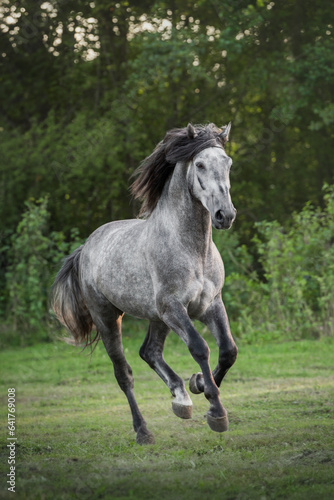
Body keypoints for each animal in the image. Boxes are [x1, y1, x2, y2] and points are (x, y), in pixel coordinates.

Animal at [51, 122, 237, 446]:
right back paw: (143, 431)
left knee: (149, 351)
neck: (192, 249)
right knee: (124, 373)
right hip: (109, 317)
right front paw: (216, 412)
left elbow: (228, 350)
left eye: (228, 163)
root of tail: (85, 248)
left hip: (156, 316)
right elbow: (200, 348)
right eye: (200, 164)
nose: (224, 215)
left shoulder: (210, 304)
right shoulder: (174, 308)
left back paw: (181, 399)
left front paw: (199, 383)